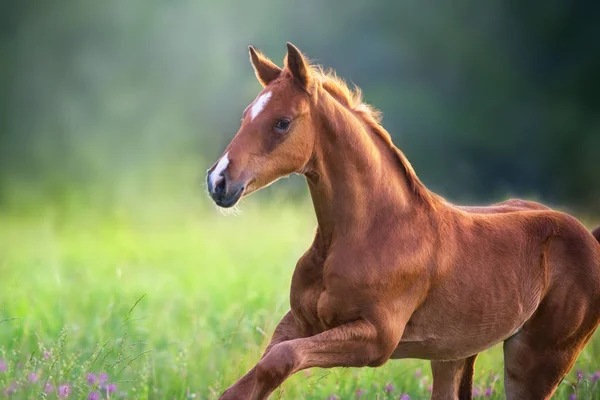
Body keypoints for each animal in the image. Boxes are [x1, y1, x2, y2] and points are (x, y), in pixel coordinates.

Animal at [207, 43, 600, 400]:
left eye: (282, 122)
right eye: (246, 115)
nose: (218, 181)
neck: (373, 231)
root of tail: (590, 237)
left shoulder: (377, 339)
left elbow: (281, 358)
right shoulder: (300, 321)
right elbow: (261, 368)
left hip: (536, 360)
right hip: (453, 354)